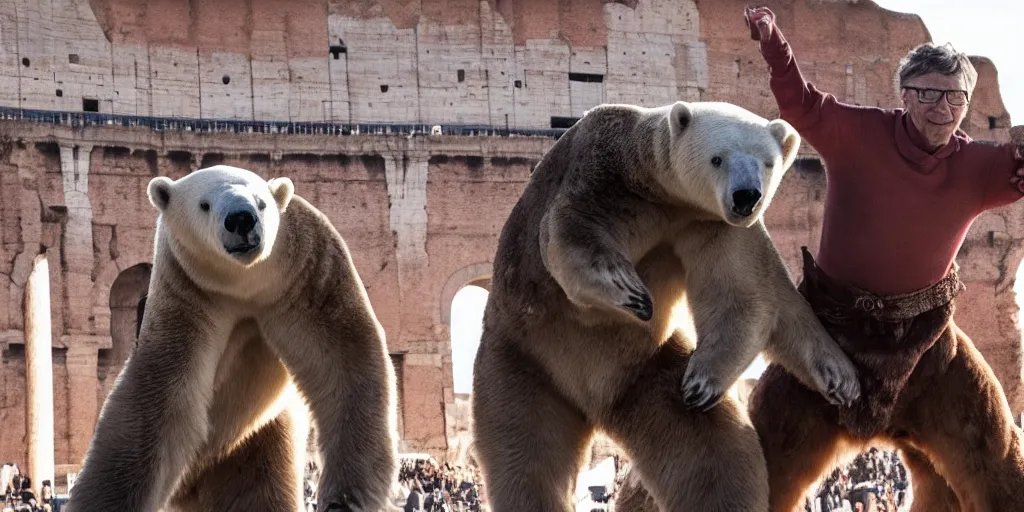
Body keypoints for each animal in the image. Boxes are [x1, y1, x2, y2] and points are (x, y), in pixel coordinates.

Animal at [66, 165, 397, 509]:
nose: (241, 218)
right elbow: (158, 400)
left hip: (256, 438)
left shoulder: (308, 271)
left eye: (262, 203)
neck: (242, 283)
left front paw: (342, 499)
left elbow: (344, 362)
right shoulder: (187, 293)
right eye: (204, 204)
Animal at [471, 101, 864, 509]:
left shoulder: (708, 223)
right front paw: (633, 293)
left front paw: (701, 385)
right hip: (523, 360)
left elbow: (742, 296)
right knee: (525, 449)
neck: (660, 194)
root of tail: (593, 399)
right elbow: (571, 236)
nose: (747, 196)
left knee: (712, 453)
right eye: (717, 158)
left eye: (767, 163)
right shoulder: (598, 175)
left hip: (646, 372)